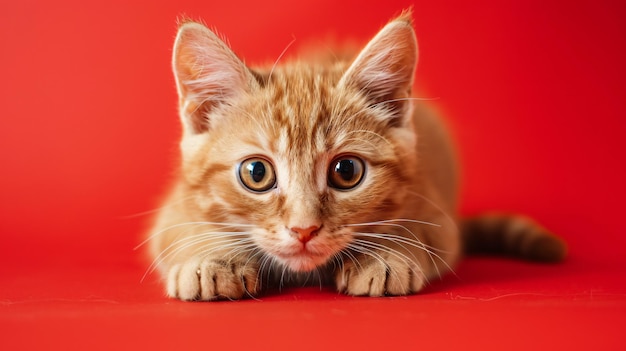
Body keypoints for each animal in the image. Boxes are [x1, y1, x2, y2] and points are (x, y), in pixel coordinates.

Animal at [146, 11, 564, 302]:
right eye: (256, 173)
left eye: (346, 171)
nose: (303, 230)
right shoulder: (174, 210)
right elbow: (182, 232)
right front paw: (209, 260)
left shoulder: (435, 213)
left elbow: (415, 230)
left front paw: (385, 256)